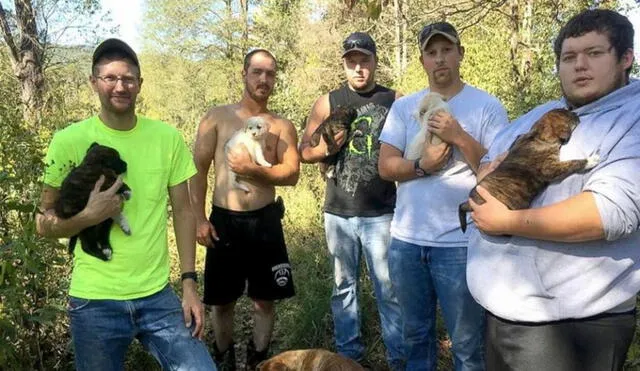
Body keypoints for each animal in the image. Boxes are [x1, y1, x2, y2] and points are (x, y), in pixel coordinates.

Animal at [460, 108, 600, 232]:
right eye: (567, 114)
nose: (576, 113)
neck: (538, 136)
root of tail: (469, 203)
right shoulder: (549, 168)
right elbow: (572, 163)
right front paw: (590, 160)